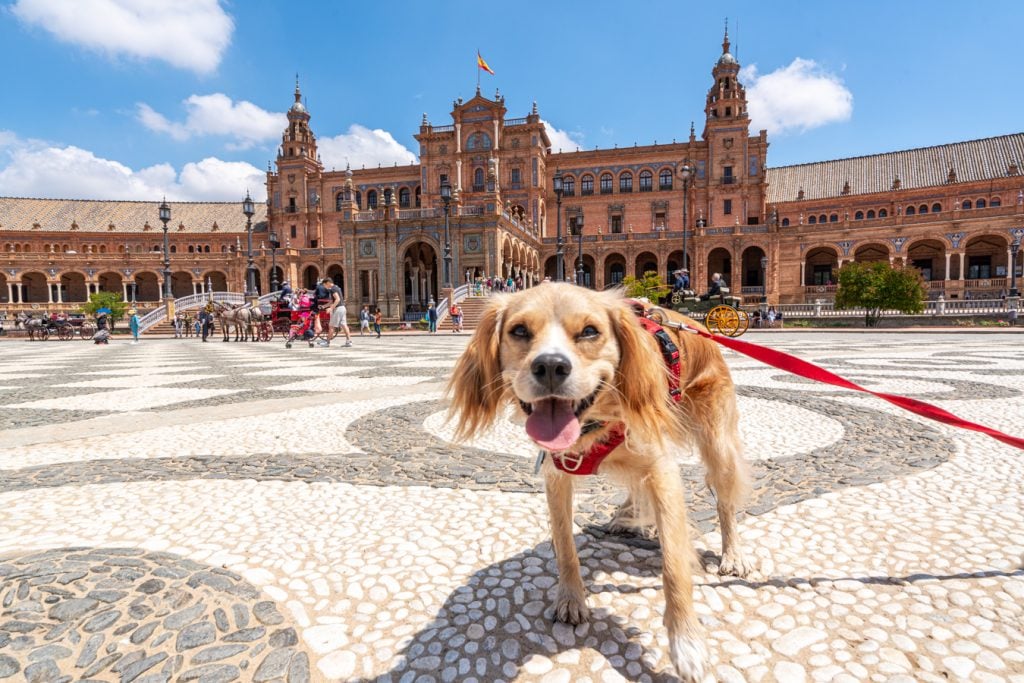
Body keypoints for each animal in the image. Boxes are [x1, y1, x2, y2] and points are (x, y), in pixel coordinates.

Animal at [446, 282, 753, 679]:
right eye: (519, 331)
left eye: (590, 331)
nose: (550, 365)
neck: (594, 422)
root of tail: (697, 325)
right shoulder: (557, 476)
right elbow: (565, 548)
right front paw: (571, 599)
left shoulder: (662, 470)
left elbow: (674, 566)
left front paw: (687, 644)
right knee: (636, 489)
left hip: (719, 446)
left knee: (725, 503)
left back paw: (733, 554)